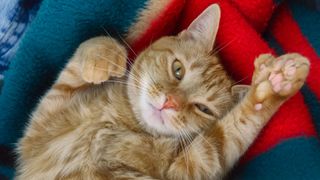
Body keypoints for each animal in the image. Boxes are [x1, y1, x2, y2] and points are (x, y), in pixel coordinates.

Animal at [16, 4, 308, 180]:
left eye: (203, 108)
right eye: (178, 70)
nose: (170, 103)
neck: (124, 122)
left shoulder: (186, 168)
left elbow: (228, 135)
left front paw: (273, 86)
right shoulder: (41, 129)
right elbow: (90, 49)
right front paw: (105, 58)